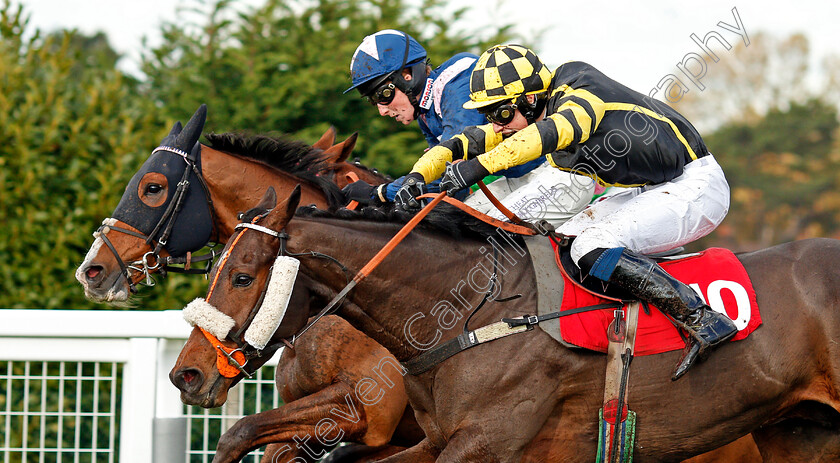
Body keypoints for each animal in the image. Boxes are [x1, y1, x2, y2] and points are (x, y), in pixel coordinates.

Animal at [185, 186, 840, 463]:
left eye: (241, 276)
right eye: (213, 267)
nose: (186, 375)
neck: (476, 310)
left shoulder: (485, 442)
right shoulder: (436, 440)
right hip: (799, 433)